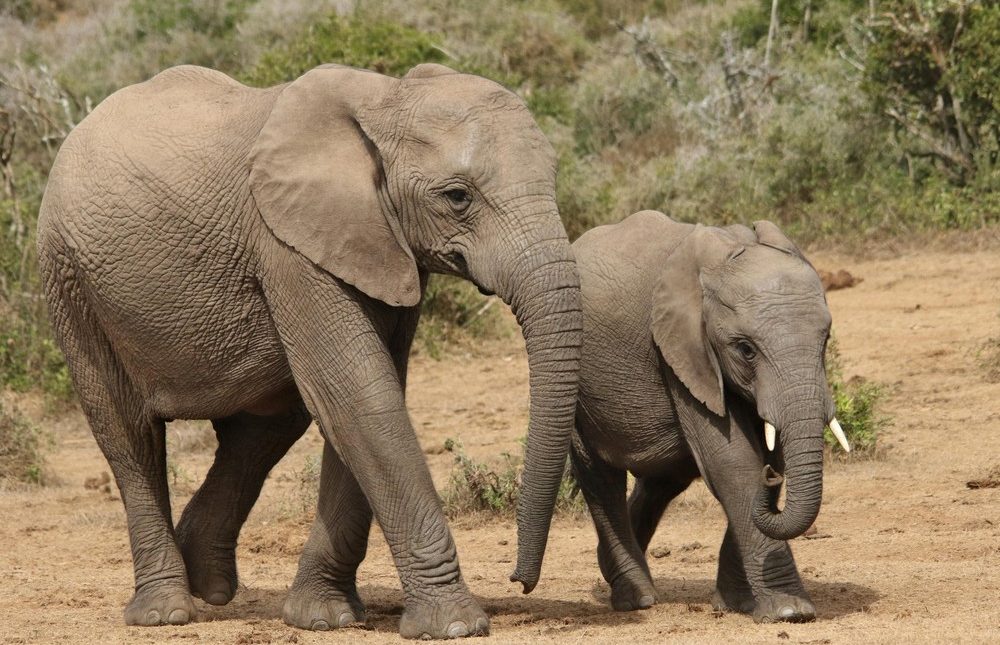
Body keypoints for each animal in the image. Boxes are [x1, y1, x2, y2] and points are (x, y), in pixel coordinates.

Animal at [36, 62, 582, 639]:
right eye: (458, 197)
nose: (519, 581)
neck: (385, 98)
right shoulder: (288, 247)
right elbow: (358, 398)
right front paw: (454, 626)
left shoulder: (378, 245)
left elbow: (365, 396)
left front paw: (323, 618)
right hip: (70, 282)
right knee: (130, 436)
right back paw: (166, 612)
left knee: (263, 431)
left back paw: (209, 585)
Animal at [570, 210, 848, 623]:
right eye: (746, 350)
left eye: (826, 339)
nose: (772, 478)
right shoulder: (682, 351)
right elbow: (732, 461)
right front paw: (790, 613)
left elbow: (762, 454)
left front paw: (736, 604)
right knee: (600, 475)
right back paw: (637, 598)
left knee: (664, 477)